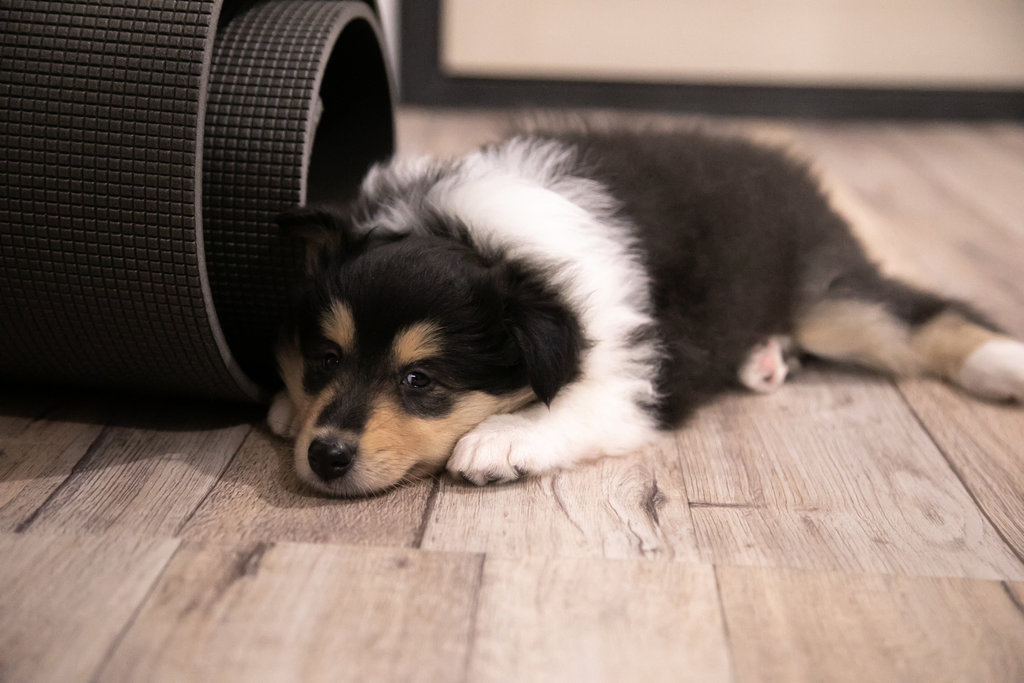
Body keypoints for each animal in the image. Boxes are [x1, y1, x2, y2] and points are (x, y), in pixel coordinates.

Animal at [268, 126, 1024, 497]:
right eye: (326, 357)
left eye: (420, 380)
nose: (326, 456)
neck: (478, 236)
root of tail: (795, 169)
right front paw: (286, 408)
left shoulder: (643, 373)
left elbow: (578, 403)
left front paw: (501, 441)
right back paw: (763, 358)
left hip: (825, 295)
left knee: (918, 316)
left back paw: (1004, 365)